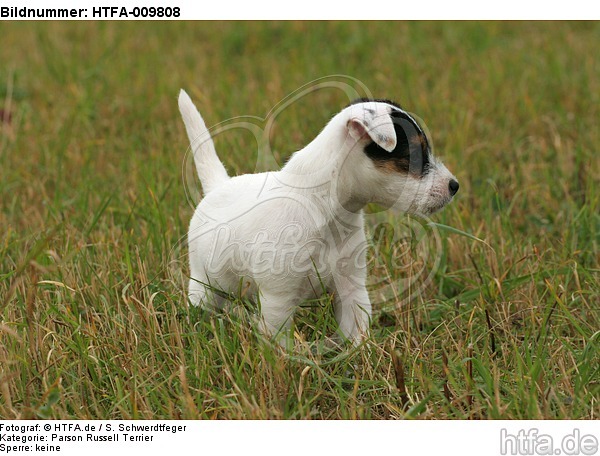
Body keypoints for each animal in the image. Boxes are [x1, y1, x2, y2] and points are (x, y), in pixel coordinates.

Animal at [178, 90, 460, 346]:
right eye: (416, 153)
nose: (454, 186)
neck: (325, 208)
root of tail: (217, 186)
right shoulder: (277, 299)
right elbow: (279, 341)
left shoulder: (352, 288)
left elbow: (357, 331)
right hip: (204, 284)